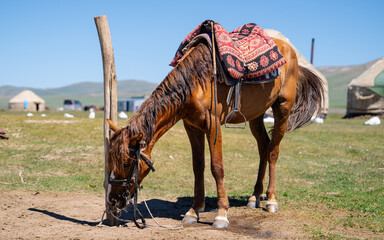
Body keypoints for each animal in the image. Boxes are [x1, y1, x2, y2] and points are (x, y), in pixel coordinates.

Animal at [105, 38, 324, 229]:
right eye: (110, 159)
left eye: (127, 163)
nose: (112, 200)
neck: (194, 83)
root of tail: (290, 52)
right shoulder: (192, 127)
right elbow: (198, 167)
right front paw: (193, 211)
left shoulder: (213, 126)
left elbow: (216, 168)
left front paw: (221, 214)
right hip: (256, 115)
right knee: (263, 147)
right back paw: (254, 196)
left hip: (282, 109)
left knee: (273, 151)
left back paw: (271, 200)